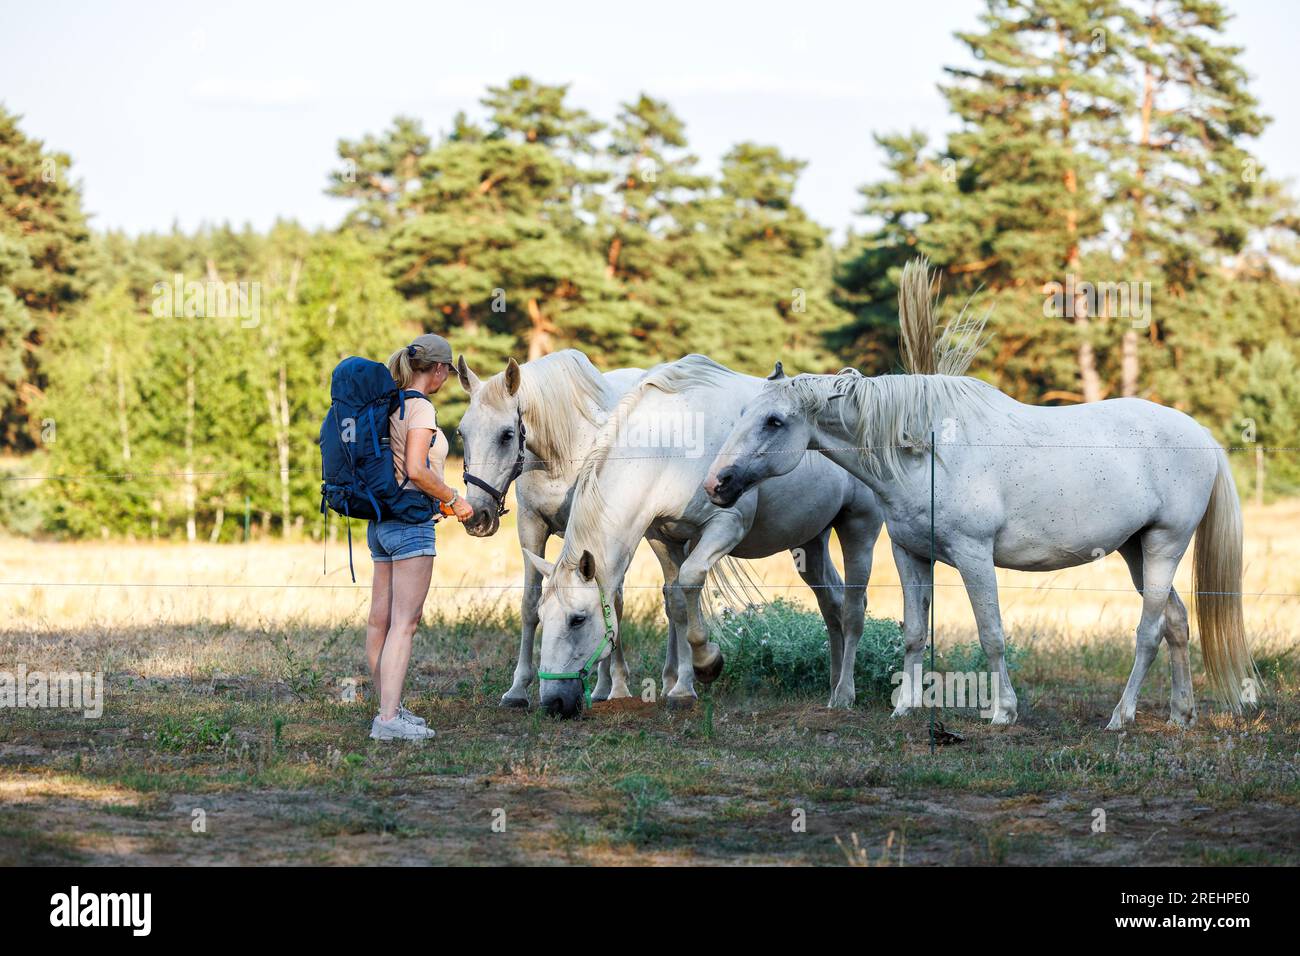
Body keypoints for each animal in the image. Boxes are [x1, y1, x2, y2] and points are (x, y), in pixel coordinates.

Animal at [707, 257, 1253, 728]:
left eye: (775, 421)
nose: (717, 484)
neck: (926, 449)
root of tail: (1201, 435)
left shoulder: (973, 555)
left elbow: (991, 634)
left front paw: (1002, 711)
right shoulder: (909, 554)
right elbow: (913, 633)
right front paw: (904, 707)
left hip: (1164, 545)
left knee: (1148, 631)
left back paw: (1121, 717)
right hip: (1135, 549)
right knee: (1176, 623)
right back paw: (1181, 715)